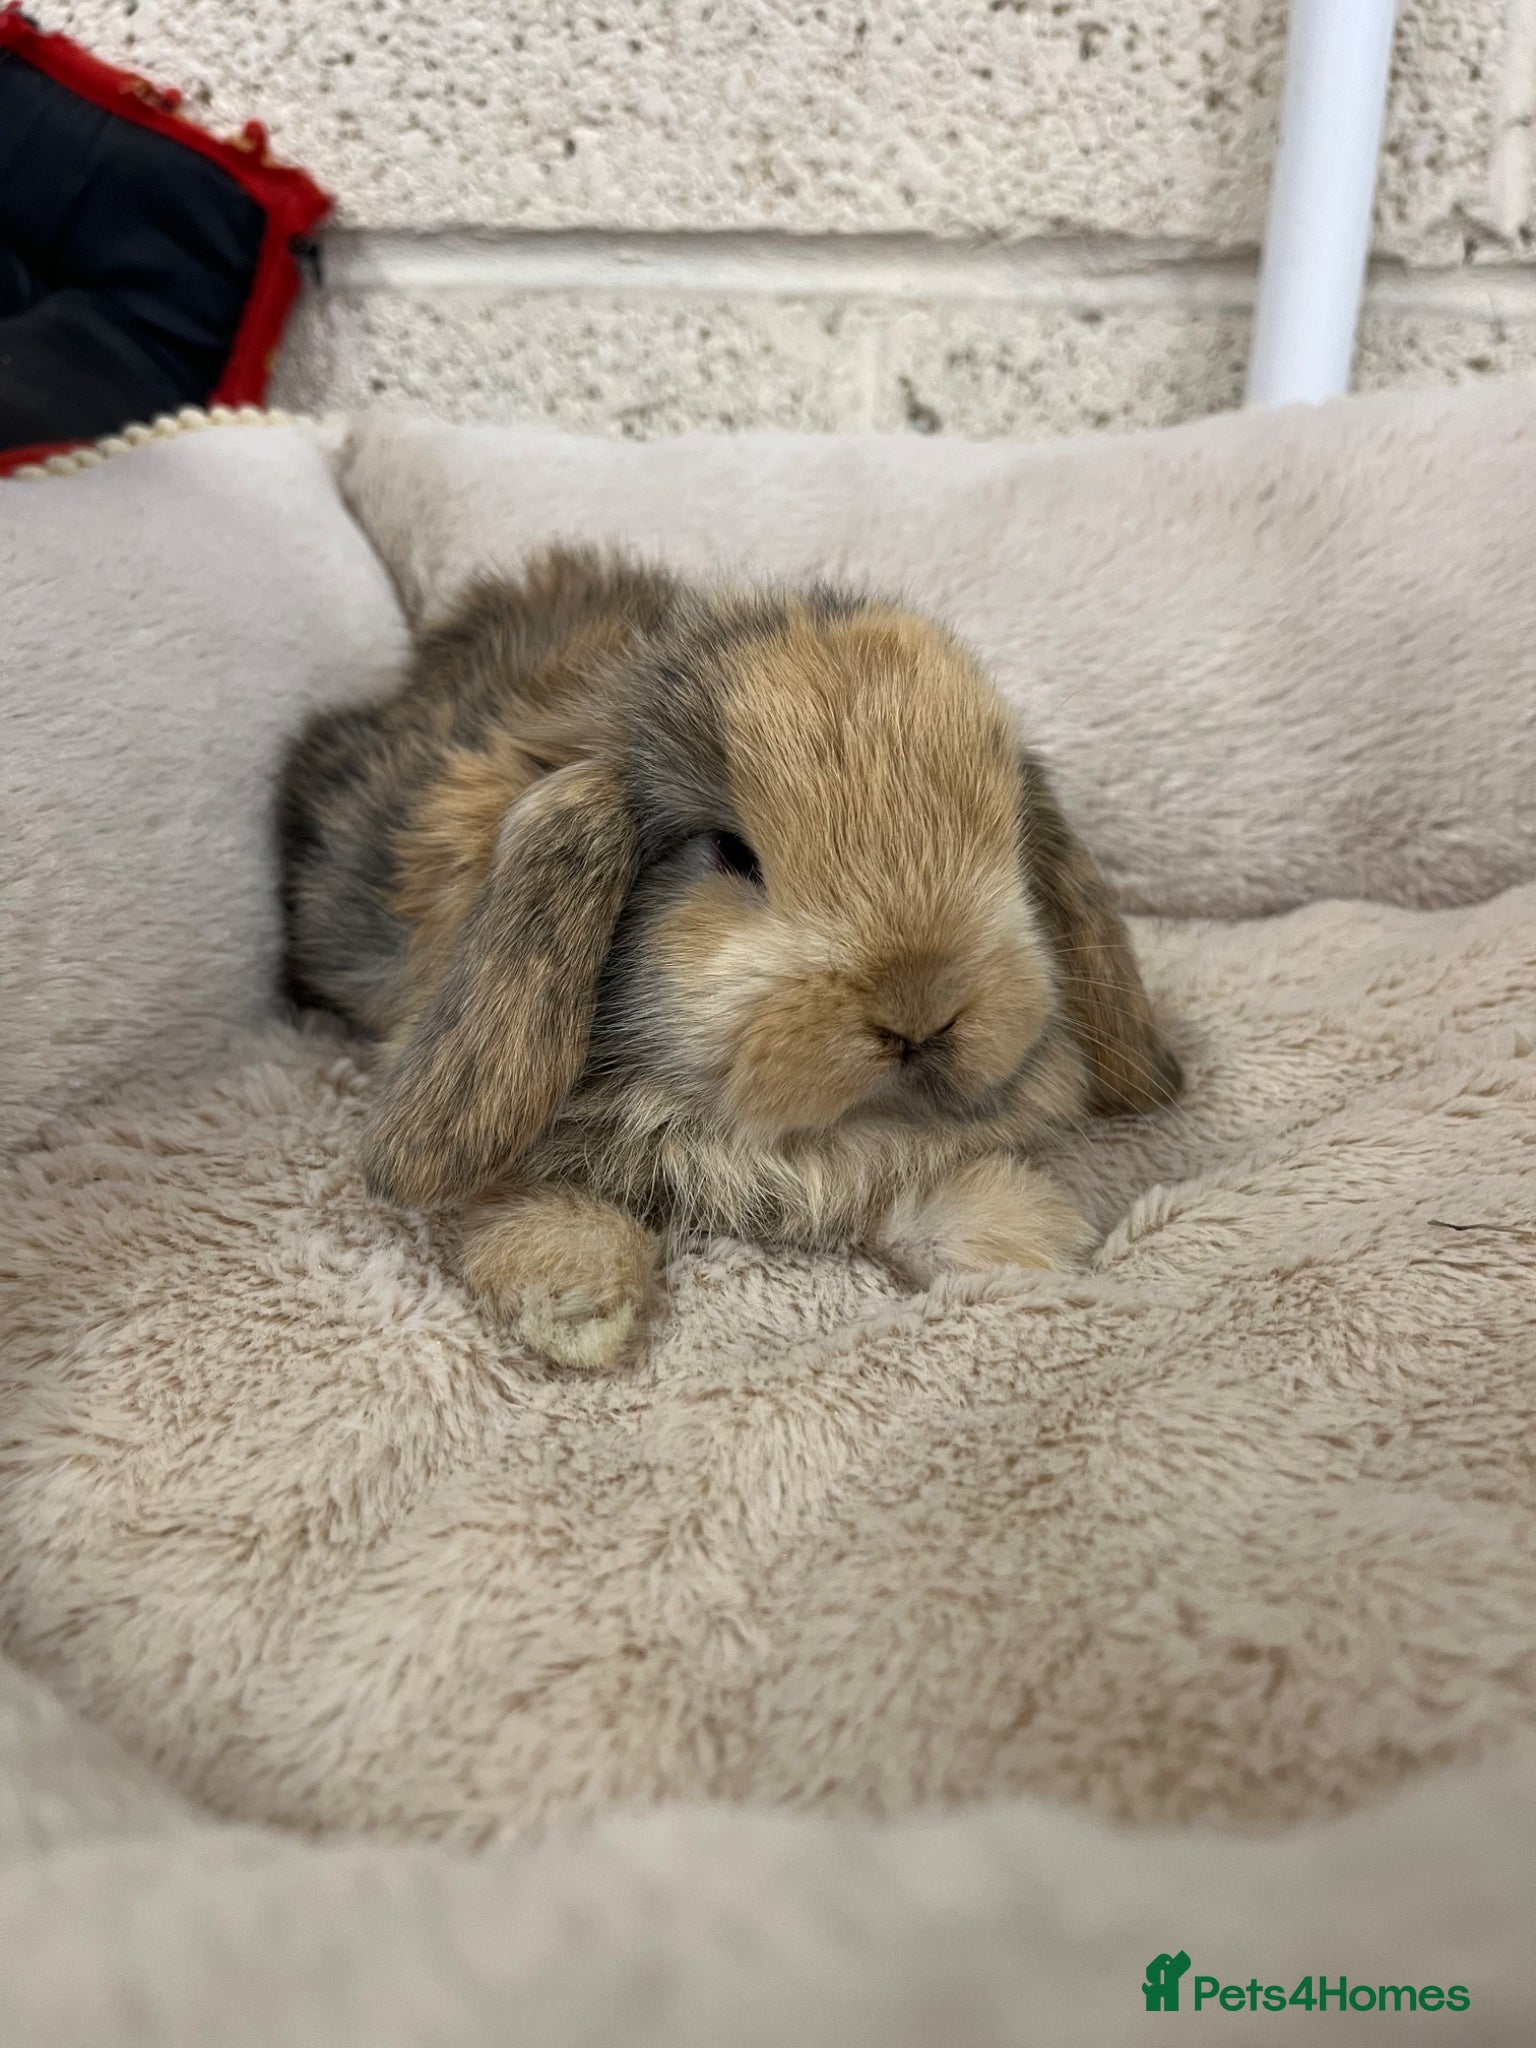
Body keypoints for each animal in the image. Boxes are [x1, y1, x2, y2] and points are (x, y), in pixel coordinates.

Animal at [278, 546, 1181, 1370]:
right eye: (731, 853)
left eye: (1008, 841)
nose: (921, 1008)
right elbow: (529, 1202)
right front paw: (578, 1309)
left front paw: (1029, 1239)